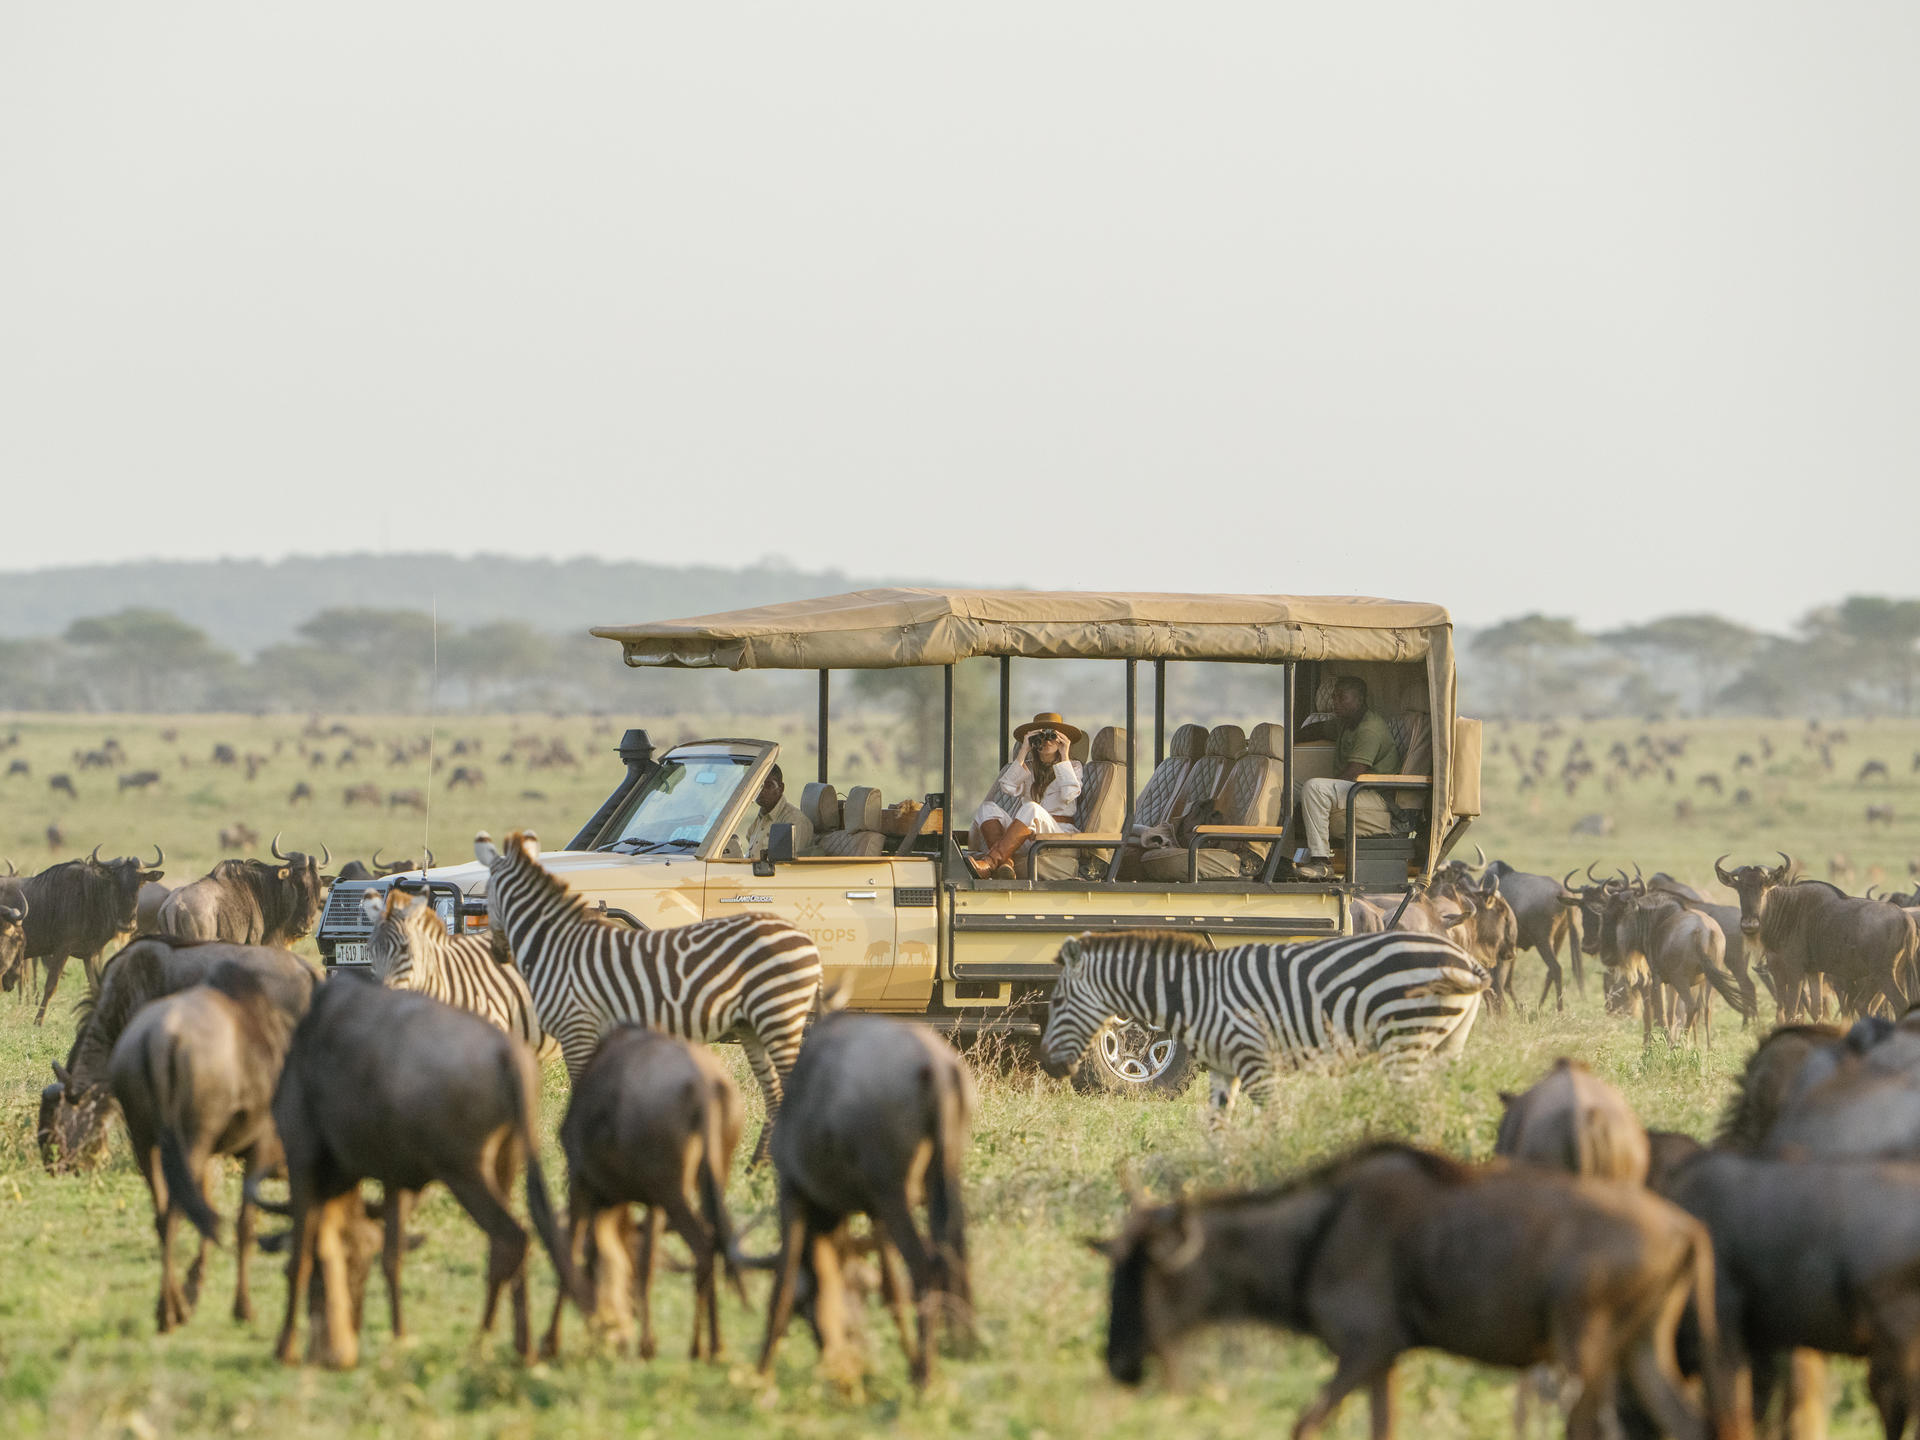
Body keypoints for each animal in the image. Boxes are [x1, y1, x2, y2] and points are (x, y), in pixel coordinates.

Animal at [483, 833, 821, 1159]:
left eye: (485, 899)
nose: (498, 954)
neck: (559, 944)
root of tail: (806, 940)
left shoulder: (578, 1026)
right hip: (757, 1023)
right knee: (775, 1092)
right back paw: (758, 1166)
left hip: (777, 1013)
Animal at [1044, 929, 1489, 1121]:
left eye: (1057, 1001)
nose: (1050, 1066)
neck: (1194, 993)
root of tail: (1467, 959)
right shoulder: (1223, 1068)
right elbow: (1217, 1125)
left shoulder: (1255, 1059)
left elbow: (1273, 1120)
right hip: (1446, 1043)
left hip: (1405, 1039)